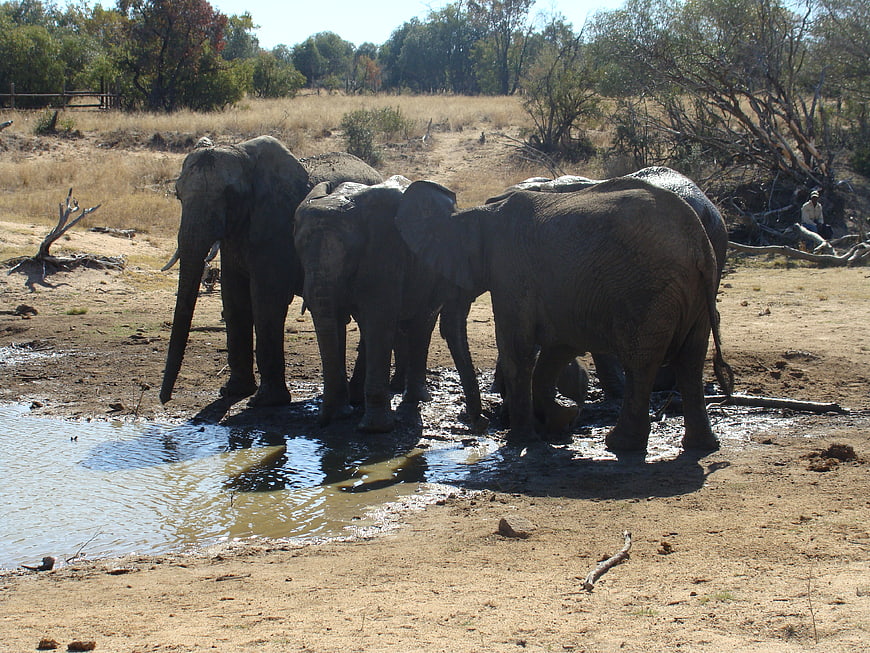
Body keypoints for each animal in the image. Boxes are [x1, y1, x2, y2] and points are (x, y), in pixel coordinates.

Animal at [160, 135, 382, 407]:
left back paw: (356, 397)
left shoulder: (276, 225)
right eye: (178, 195)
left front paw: (265, 401)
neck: (245, 155)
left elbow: (266, 301)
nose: (164, 399)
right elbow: (234, 298)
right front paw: (232, 391)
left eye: (230, 195)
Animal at [294, 175, 482, 433]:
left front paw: (374, 429)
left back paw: (414, 399)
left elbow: (379, 319)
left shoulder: (385, 249)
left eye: (348, 251)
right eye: (298, 248)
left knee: (421, 324)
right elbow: (341, 318)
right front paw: (345, 414)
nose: (322, 423)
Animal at [395, 176, 733, 452]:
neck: (478, 212)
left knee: (642, 361)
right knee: (690, 360)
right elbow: (558, 346)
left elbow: (517, 348)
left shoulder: (511, 270)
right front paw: (561, 419)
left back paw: (619, 444)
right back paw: (702, 446)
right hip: (697, 289)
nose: (478, 424)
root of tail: (699, 240)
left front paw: (521, 440)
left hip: (648, 289)